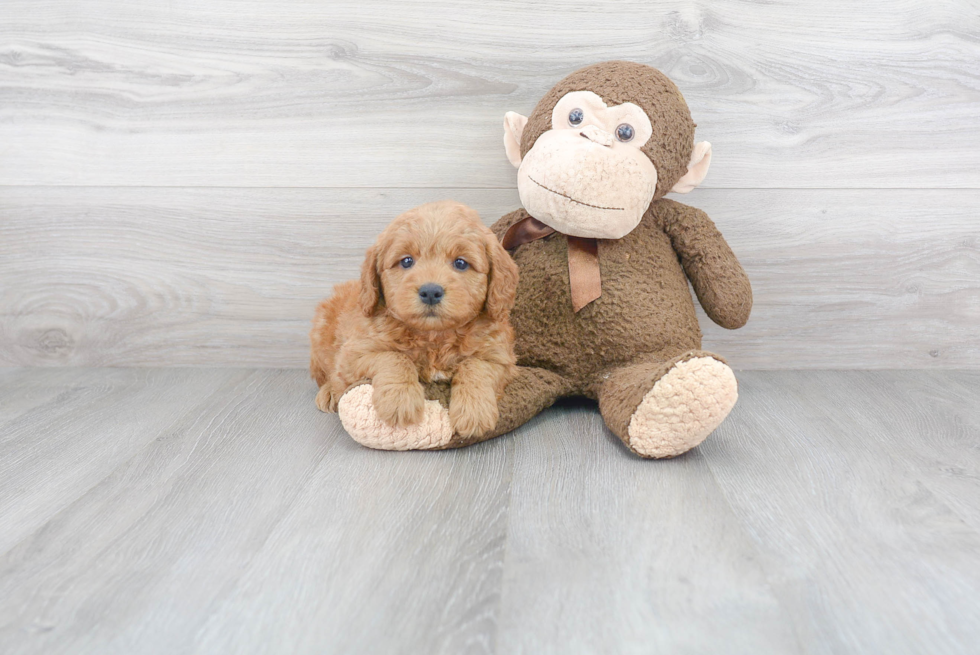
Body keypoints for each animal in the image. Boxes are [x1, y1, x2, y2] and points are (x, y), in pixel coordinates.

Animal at [310, 200, 520, 440]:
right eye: (407, 261)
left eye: (460, 263)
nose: (430, 292)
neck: (435, 336)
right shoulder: (354, 354)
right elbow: (393, 357)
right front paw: (399, 401)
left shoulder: (500, 358)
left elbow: (475, 367)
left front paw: (474, 411)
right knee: (326, 375)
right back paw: (329, 393)